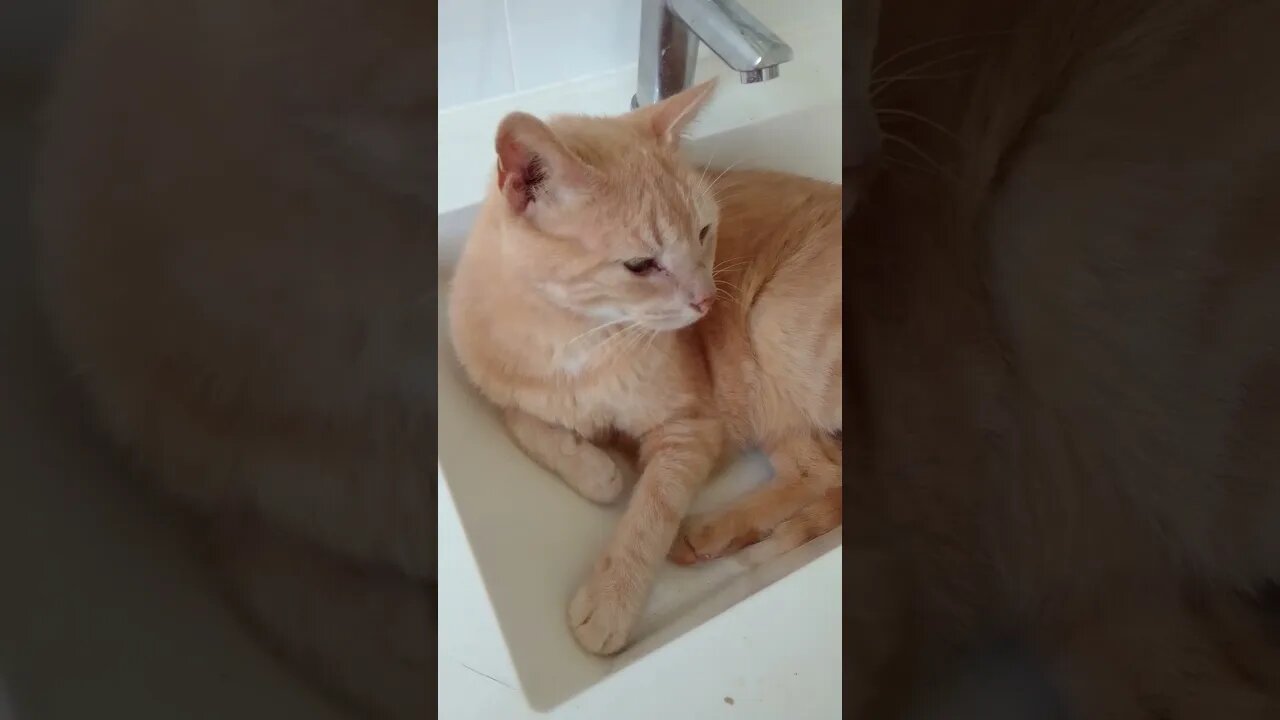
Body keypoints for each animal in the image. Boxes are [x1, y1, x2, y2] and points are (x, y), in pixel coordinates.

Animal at [448, 81, 839, 653]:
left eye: (704, 232)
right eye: (640, 265)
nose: (707, 300)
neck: (574, 338)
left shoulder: (692, 429)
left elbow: (651, 511)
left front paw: (610, 599)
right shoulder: (500, 385)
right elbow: (524, 420)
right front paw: (593, 467)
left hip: (774, 327)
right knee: (819, 470)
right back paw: (713, 535)